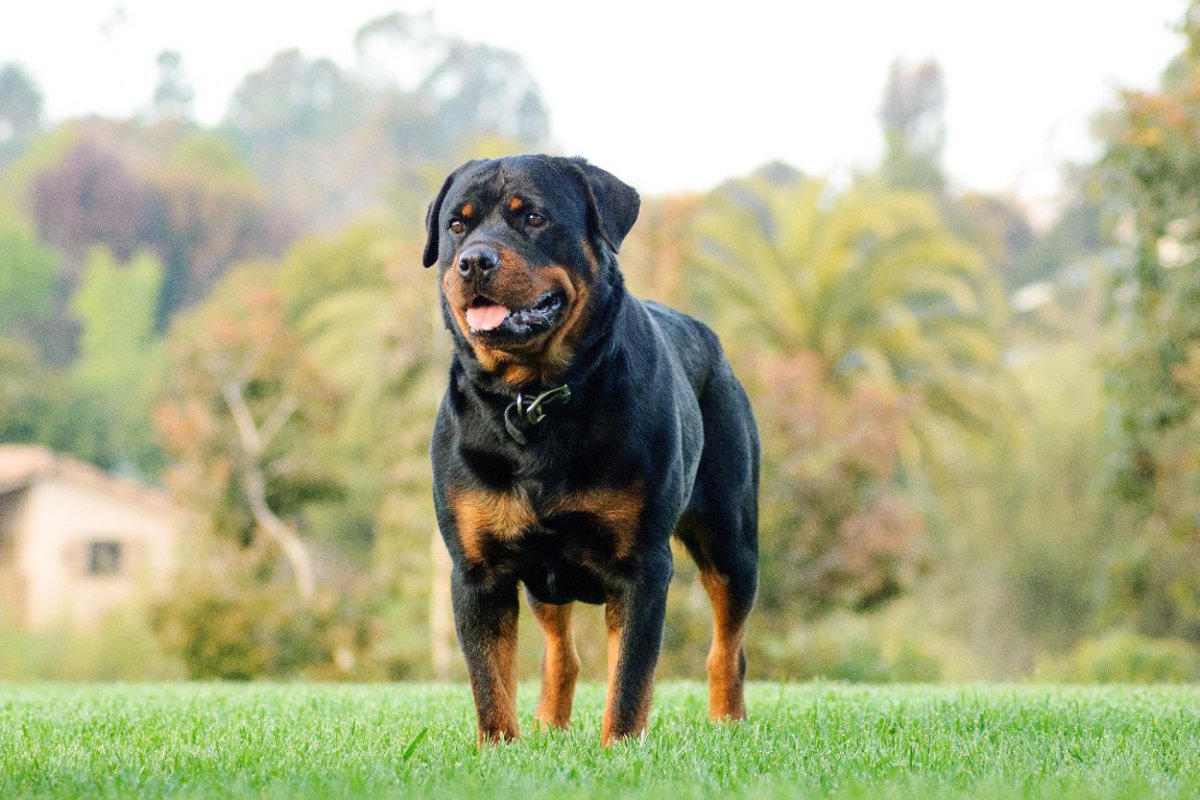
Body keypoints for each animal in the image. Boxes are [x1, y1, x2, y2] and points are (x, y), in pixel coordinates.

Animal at [424, 154, 758, 743]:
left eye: (533, 218)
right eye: (457, 225)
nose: (474, 261)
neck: (534, 397)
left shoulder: (642, 567)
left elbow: (629, 681)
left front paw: (619, 749)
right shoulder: (477, 570)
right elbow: (491, 685)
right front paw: (499, 750)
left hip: (731, 540)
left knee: (727, 649)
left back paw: (727, 726)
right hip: (543, 578)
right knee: (561, 655)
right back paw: (549, 725)